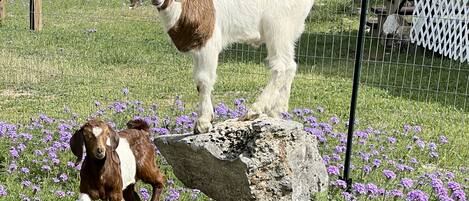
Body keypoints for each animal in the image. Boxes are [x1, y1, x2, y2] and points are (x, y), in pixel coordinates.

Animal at [154, 0, 314, 135]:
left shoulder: (209, 40)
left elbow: (203, 80)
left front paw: (203, 123)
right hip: (288, 31)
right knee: (291, 65)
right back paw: (278, 113)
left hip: (278, 25)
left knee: (281, 65)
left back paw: (253, 111)